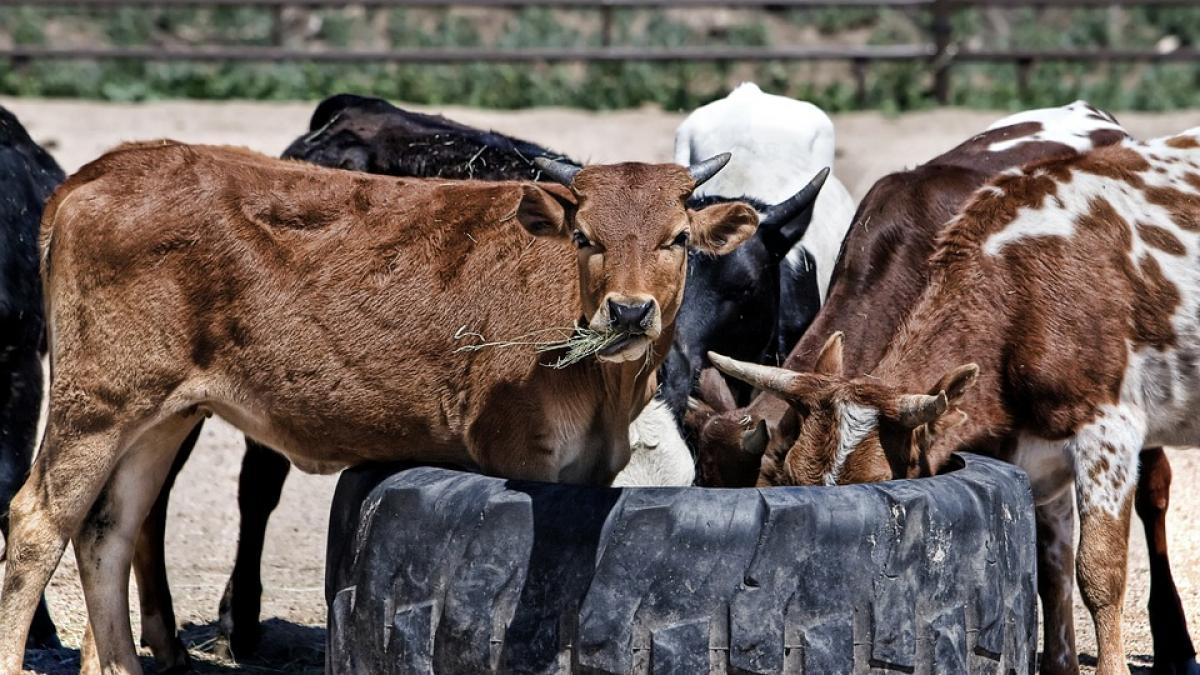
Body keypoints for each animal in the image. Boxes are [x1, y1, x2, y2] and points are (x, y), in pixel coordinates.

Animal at [0, 142, 767, 675]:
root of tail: (106, 170)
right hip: (96, 405)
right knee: (37, 522)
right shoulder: (521, 453)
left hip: (161, 415)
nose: (628, 311)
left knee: (110, 530)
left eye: (676, 238)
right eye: (586, 238)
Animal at [690, 102, 1199, 674]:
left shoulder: (1104, 431)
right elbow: (1049, 564)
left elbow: (1097, 570)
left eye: (747, 286)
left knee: (1153, 496)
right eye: (793, 482)